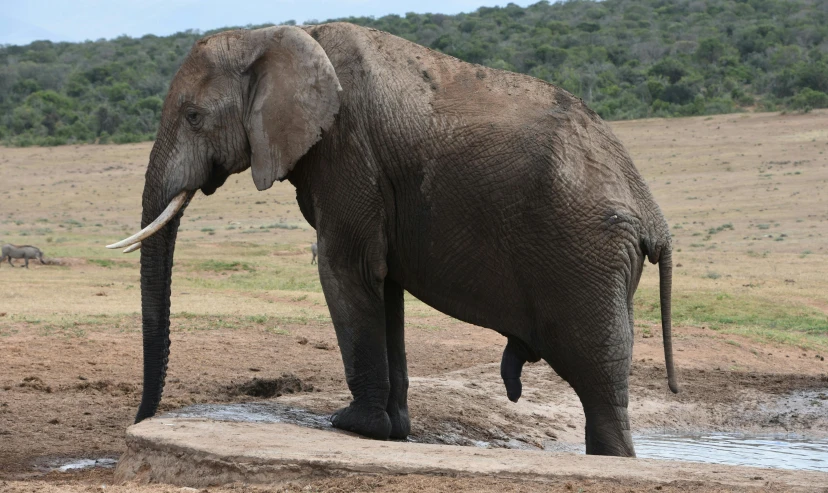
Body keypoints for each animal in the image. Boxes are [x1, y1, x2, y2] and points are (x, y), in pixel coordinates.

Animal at [108, 21, 680, 456]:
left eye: (194, 116)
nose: (138, 420)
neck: (272, 35)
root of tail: (654, 215)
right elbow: (382, 284)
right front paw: (394, 430)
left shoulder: (346, 151)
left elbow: (345, 269)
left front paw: (351, 425)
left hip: (587, 254)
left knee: (599, 381)